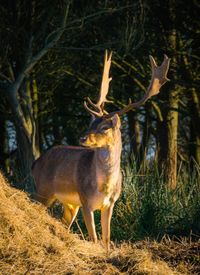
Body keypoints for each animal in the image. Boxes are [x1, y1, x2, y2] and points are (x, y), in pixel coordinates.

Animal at [31, 50, 170, 251]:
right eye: (91, 123)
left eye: (105, 127)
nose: (82, 138)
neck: (104, 186)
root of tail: (35, 163)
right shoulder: (85, 200)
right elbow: (94, 238)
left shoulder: (110, 204)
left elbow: (106, 238)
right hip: (43, 189)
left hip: (69, 204)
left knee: (65, 223)